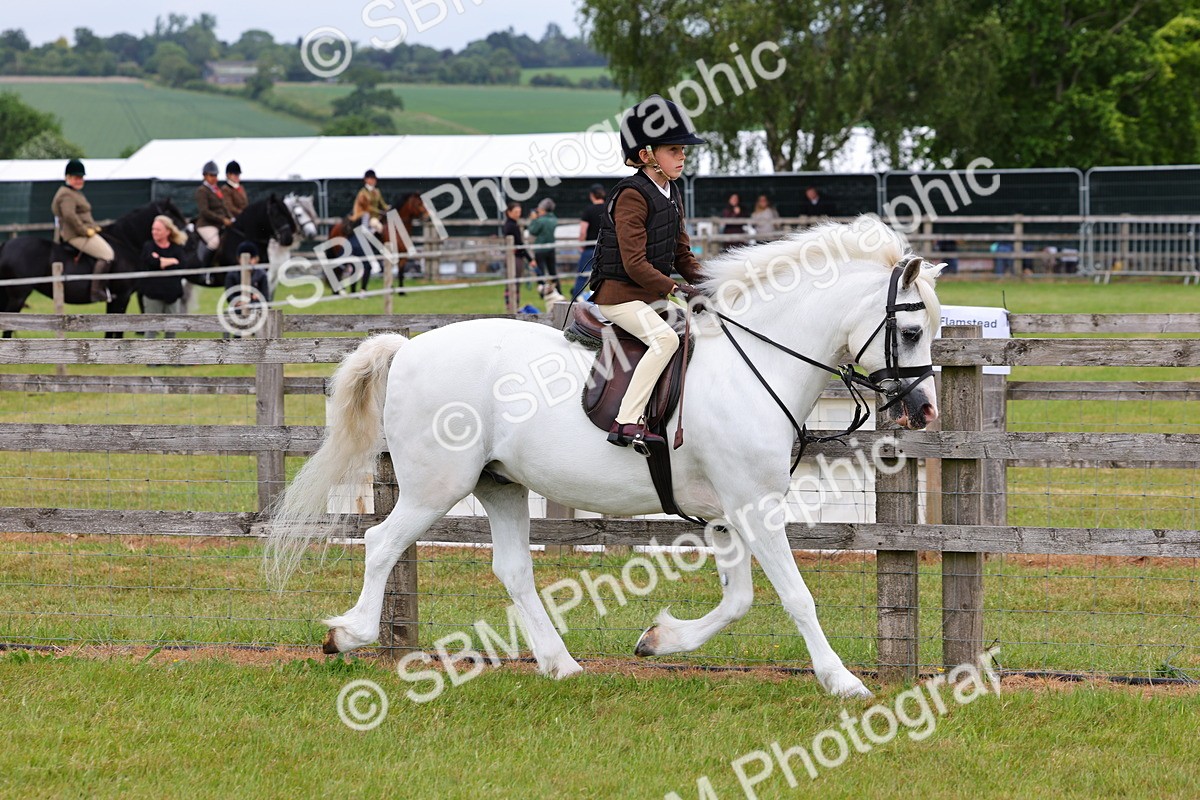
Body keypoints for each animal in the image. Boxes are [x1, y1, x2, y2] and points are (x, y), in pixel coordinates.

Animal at [0, 198, 191, 338]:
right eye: (172, 214)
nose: (189, 236)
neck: (125, 243)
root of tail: (7, 244)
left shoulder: (114, 298)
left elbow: (110, 327)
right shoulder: (123, 296)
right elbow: (118, 329)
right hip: (18, 295)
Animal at [265, 216, 943, 699]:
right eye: (910, 332)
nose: (923, 411)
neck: (756, 364)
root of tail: (406, 349)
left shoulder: (727, 515)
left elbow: (739, 600)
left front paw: (660, 639)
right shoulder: (754, 507)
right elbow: (796, 597)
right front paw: (843, 682)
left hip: (499, 484)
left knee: (513, 569)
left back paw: (561, 665)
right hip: (436, 487)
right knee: (381, 542)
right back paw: (348, 635)